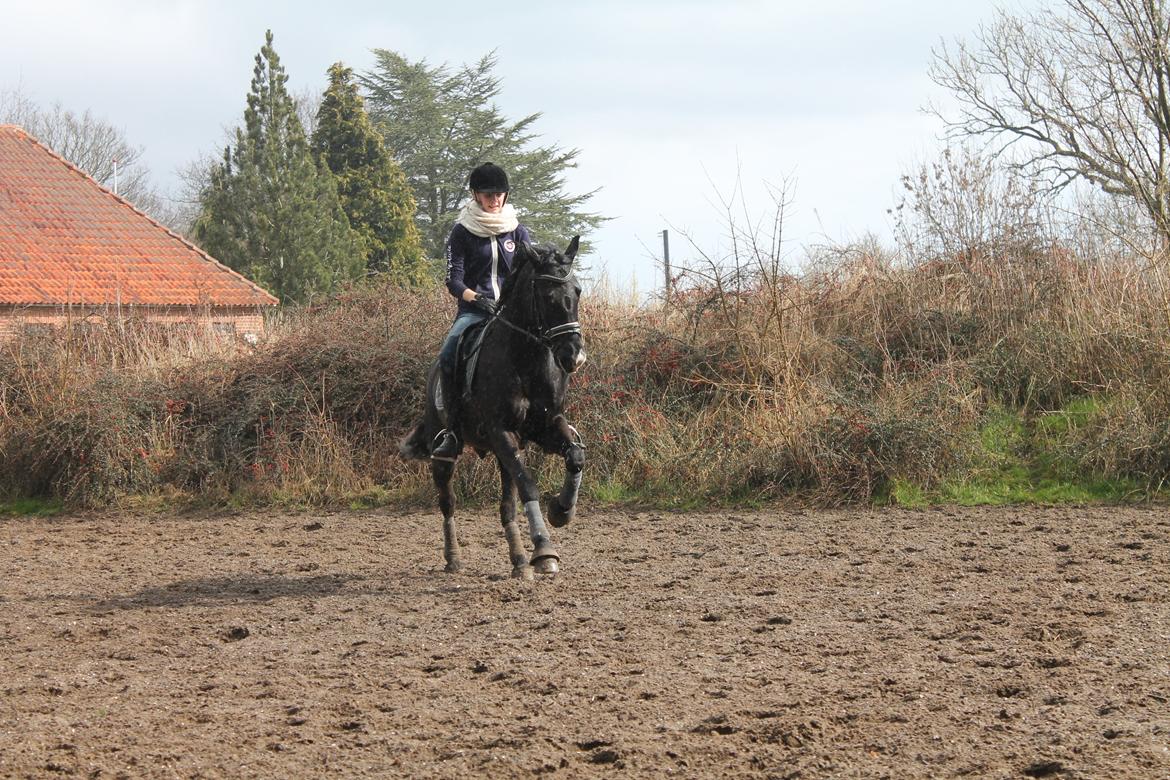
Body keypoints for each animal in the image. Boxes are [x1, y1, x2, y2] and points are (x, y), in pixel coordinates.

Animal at [399, 237, 587, 579]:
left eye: (577, 291)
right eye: (547, 296)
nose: (574, 357)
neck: (526, 360)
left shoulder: (547, 425)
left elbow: (575, 458)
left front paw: (561, 510)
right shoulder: (501, 432)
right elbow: (528, 485)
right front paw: (544, 550)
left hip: (502, 454)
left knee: (506, 507)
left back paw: (519, 561)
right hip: (445, 452)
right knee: (448, 502)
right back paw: (454, 558)